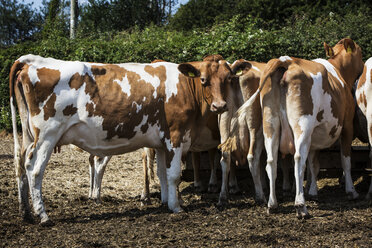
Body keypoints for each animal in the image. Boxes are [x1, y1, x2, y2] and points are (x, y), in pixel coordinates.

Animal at [9, 54, 250, 225]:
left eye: (228, 79)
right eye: (204, 80)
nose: (220, 106)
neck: (185, 88)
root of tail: (31, 60)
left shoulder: (160, 142)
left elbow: (162, 175)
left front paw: (165, 202)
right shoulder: (176, 136)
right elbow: (174, 175)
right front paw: (176, 207)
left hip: (29, 136)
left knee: (21, 165)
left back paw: (25, 212)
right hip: (48, 135)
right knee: (35, 169)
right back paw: (43, 215)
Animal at [222, 37, 364, 218]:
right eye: (360, 53)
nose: (363, 66)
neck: (339, 71)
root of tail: (285, 60)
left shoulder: (314, 136)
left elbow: (314, 164)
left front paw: (312, 191)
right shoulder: (346, 127)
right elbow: (345, 161)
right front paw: (351, 191)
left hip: (269, 125)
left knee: (269, 161)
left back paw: (271, 203)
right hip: (302, 125)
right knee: (298, 160)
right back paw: (300, 206)